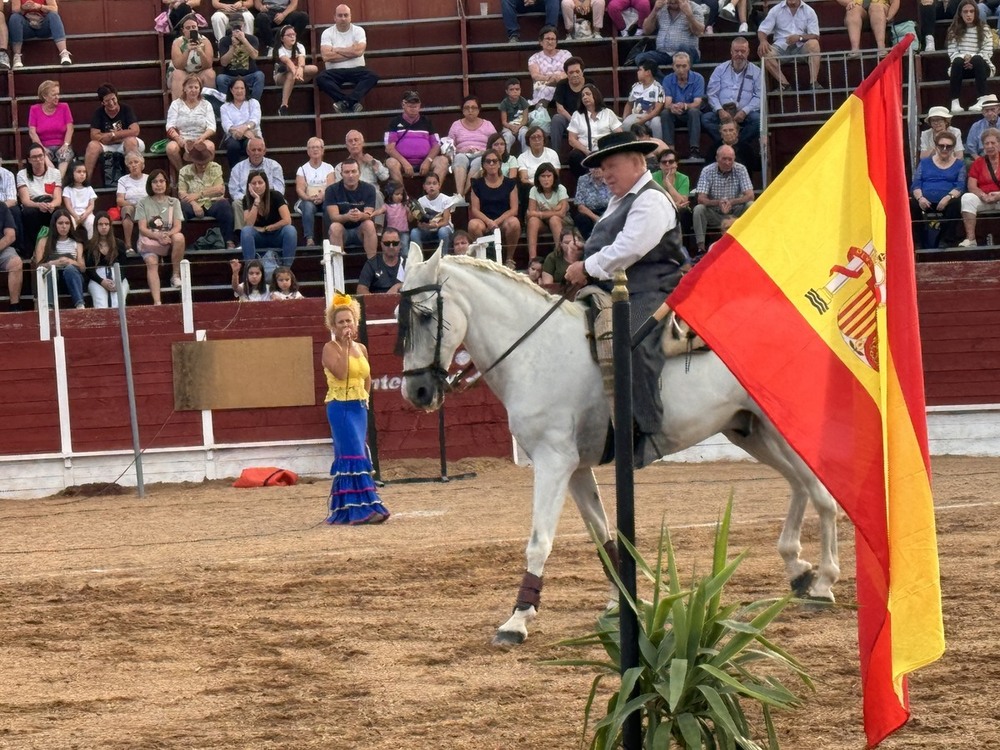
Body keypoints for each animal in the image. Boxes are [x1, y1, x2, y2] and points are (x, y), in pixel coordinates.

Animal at [394, 250, 840, 648]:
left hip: (775, 427)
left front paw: (516, 620)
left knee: (820, 493)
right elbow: (603, 535)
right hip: (748, 430)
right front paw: (621, 602)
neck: (535, 351)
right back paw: (798, 568)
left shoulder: (553, 462)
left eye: (426, 315)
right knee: (800, 485)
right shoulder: (575, 468)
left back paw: (824, 582)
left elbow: (540, 540)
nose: (417, 392)